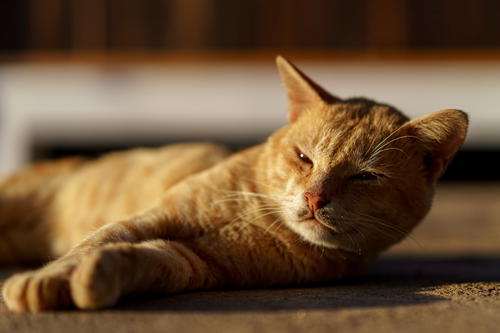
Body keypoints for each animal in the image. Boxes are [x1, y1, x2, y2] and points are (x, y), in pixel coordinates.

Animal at [0, 55, 468, 312]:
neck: (259, 216)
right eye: (304, 158)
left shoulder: (187, 261)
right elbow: (91, 244)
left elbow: (128, 259)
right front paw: (40, 282)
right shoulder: (149, 219)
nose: (315, 197)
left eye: (364, 176)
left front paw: (94, 280)